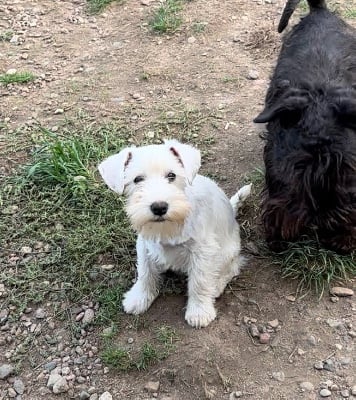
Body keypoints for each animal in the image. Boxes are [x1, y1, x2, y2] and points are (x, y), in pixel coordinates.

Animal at [98, 141, 252, 328]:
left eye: (171, 175)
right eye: (137, 179)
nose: (159, 207)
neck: (170, 227)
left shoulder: (203, 250)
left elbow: (199, 281)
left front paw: (199, 311)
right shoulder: (145, 245)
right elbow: (145, 273)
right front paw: (139, 298)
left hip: (226, 252)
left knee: (232, 267)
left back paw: (216, 285)